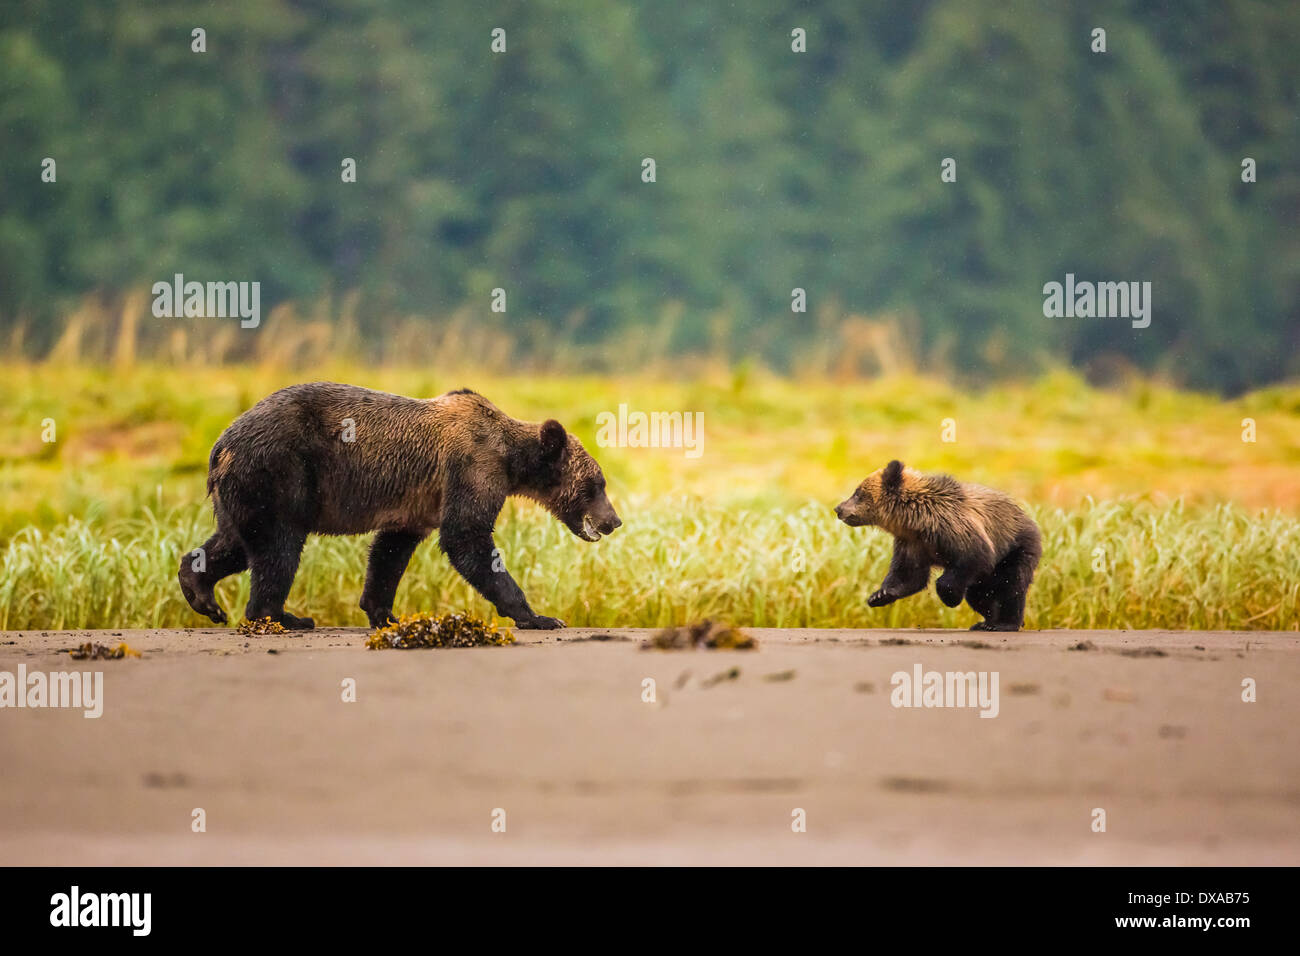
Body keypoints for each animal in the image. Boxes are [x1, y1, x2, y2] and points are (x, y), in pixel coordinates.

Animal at [178, 385, 618, 632]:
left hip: (245, 489)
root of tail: (221, 445)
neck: (512, 460)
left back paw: (201, 592)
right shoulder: (472, 468)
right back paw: (284, 616)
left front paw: (383, 613)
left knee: (238, 541)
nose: (613, 520)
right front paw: (540, 617)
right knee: (278, 547)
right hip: (279, 472)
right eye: (596, 485)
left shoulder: (417, 502)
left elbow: (391, 550)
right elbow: (467, 538)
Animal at [837, 463, 1040, 632]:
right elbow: (908, 574)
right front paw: (879, 595)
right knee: (978, 593)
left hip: (1016, 549)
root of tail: (1025, 515)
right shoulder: (912, 544)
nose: (838, 509)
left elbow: (974, 556)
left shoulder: (954, 529)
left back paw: (1004, 623)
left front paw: (950, 597)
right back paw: (986, 622)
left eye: (857, 493)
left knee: (1011, 585)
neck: (916, 521)